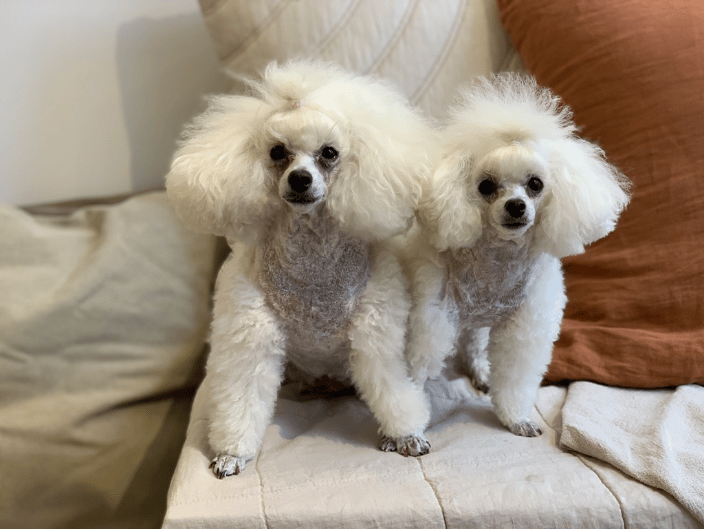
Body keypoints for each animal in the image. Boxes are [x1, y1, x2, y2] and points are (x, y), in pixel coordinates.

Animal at [166, 61, 435, 478]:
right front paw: (232, 453)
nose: (300, 179)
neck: (312, 260)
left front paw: (406, 434)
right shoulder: (250, 333)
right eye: (277, 151)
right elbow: (242, 396)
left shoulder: (374, 333)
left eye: (329, 152)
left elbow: (391, 386)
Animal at [406, 73, 631, 437]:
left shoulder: (524, 326)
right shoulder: (434, 317)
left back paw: (481, 371)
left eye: (535, 184)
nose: (516, 206)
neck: (496, 263)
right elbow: (418, 364)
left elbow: (514, 379)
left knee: (473, 341)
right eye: (485, 186)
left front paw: (516, 419)